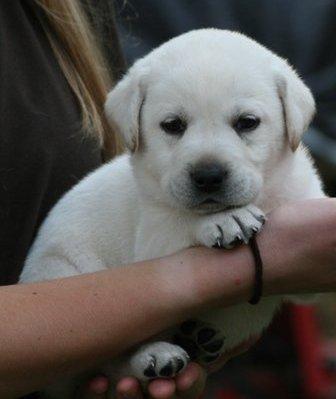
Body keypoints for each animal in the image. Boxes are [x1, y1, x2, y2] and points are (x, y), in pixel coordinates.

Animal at [19, 29, 324, 398]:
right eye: (173, 125)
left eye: (248, 123)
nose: (208, 176)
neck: (264, 195)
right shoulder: (153, 240)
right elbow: (180, 221)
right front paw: (223, 219)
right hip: (62, 273)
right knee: (107, 360)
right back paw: (156, 355)